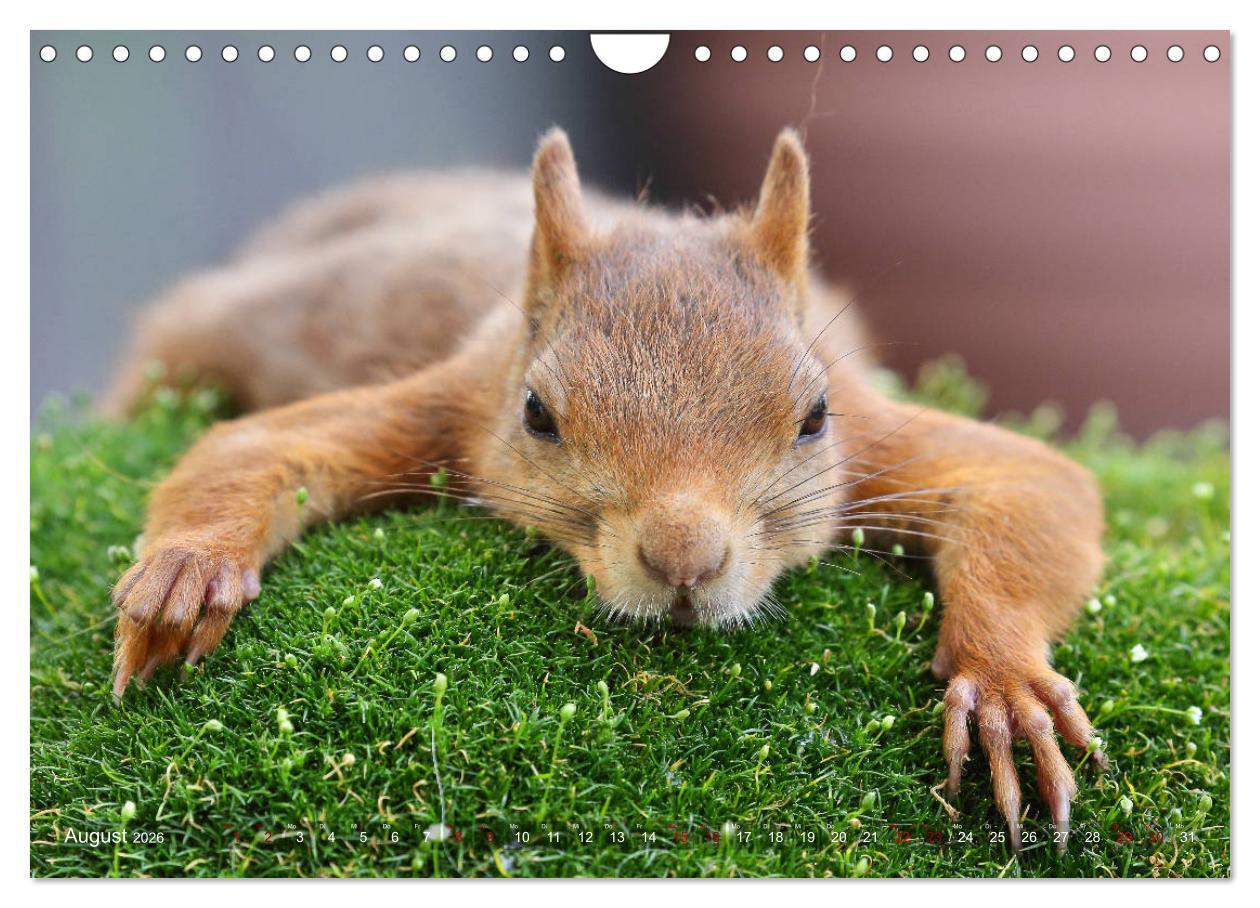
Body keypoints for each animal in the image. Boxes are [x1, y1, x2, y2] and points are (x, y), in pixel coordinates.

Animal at [105, 127, 1105, 849]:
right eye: (537, 413)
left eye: (815, 416)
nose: (684, 562)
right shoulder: (457, 402)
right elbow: (258, 448)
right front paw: (191, 569)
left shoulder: (875, 432)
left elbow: (1033, 484)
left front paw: (1003, 684)